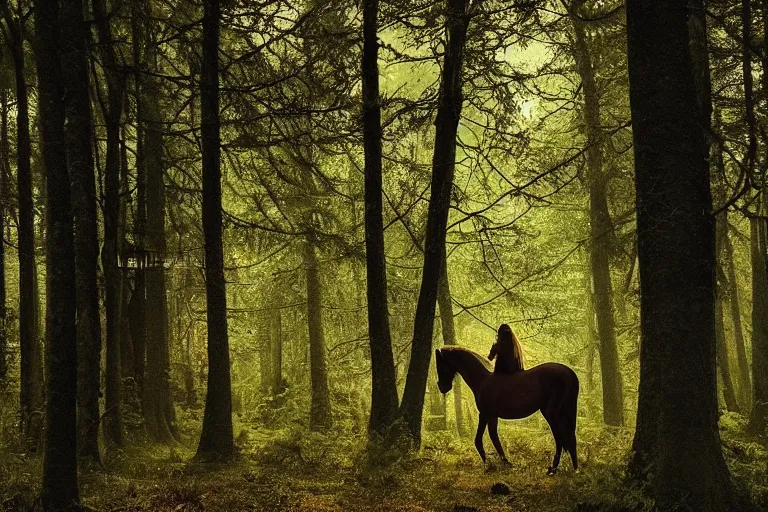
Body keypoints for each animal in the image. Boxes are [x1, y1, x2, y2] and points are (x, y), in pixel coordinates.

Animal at [436, 346, 580, 474]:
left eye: (440, 366)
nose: (442, 387)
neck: (482, 380)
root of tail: (570, 373)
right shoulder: (492, 416)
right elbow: (494, 438)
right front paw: (505, 463)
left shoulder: (484, 414)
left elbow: (478, 440)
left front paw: (488, 465)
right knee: (568, 436)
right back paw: (572, 468)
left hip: (552, 413)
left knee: (561, 437)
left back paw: (555, 469)